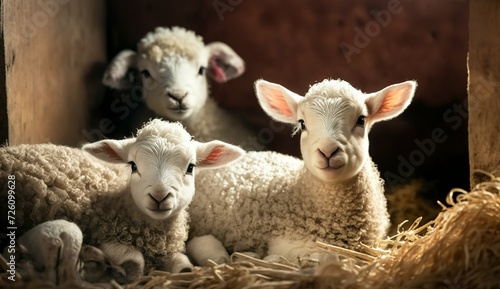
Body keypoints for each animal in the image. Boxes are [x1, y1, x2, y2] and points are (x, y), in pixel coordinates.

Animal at [0, 118, 246, 274]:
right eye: (133, 165)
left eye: (191, 167)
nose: (159, 196)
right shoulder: (106, 237)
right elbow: (134, 262)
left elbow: (184, 268)